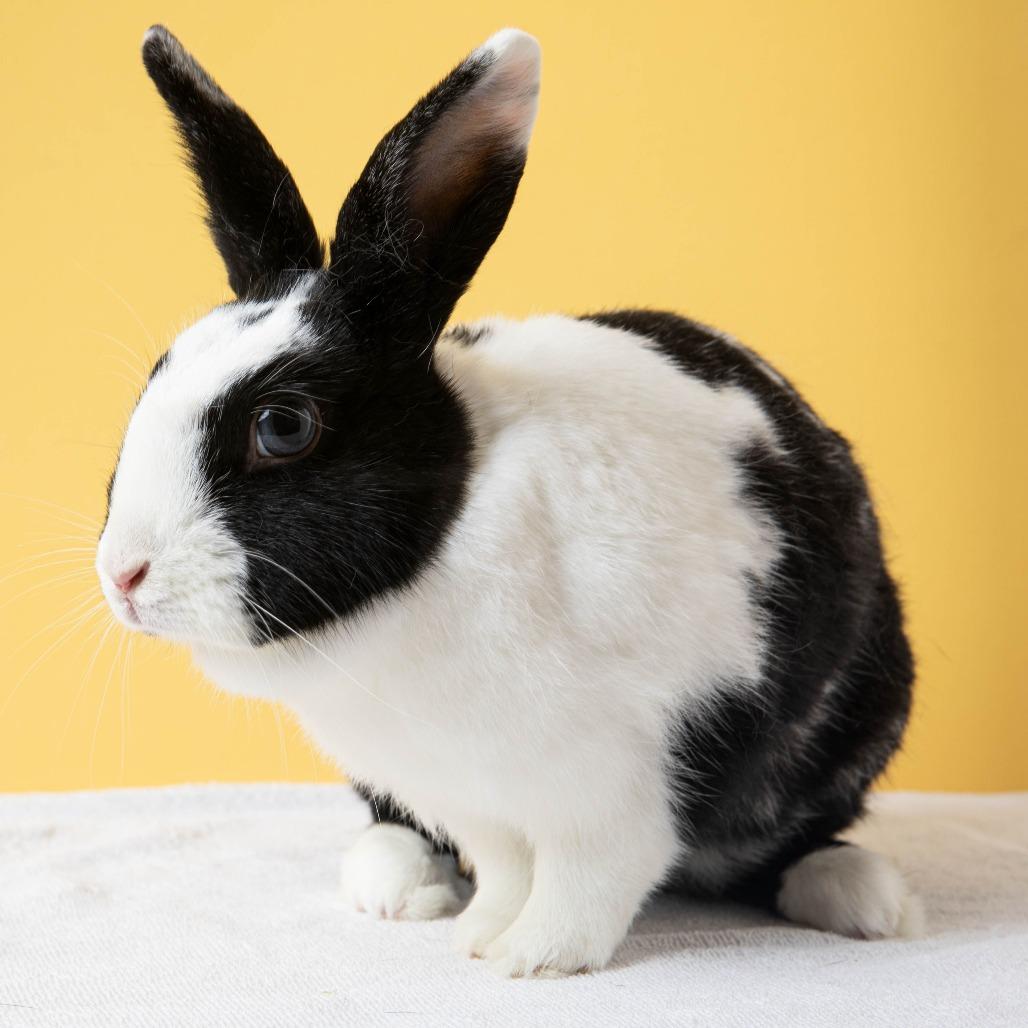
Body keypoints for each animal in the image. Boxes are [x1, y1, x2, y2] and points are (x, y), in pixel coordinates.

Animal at [97, 24, 919, 977]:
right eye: (157, 376)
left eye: (282, 425)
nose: (123, 576)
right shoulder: (472, 795)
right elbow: (505, 868)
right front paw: (483, 933)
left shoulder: (620, 779)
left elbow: (588, 878)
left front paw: (535, 957)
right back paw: (397, 885)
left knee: (787, 841)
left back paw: (864, 899)